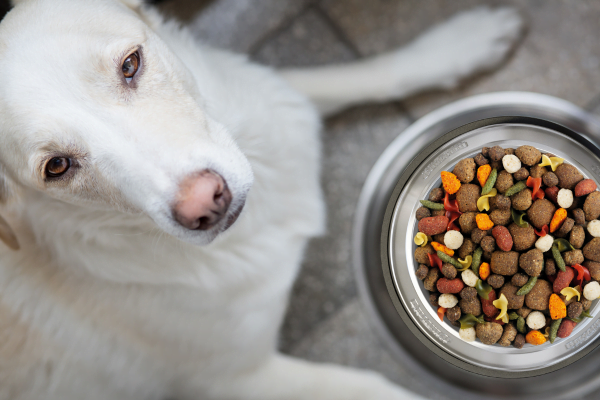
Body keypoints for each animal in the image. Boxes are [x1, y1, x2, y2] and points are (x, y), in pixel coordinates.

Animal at [0, 1, 524, 398]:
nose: (204, 204)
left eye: (130, 64)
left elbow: (346, 77)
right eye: (56, 167)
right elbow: (374, 388)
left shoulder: (272, 92)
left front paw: (455, 45)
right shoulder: (238, 379)